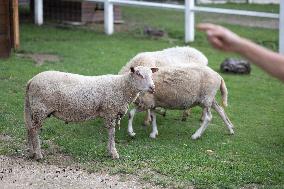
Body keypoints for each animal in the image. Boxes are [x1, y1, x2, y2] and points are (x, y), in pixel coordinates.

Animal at [24, 66, 159, 159]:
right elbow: (112, 133)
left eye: (151, 74)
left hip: (33, 108)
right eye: (139, 74)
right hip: (40, 109)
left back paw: (31, 152)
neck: (122, 86)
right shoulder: (110, 111)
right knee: (34, 130)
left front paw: (110, 151)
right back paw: (38, 154)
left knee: (29, 128)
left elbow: (110, 133)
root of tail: (31, 81)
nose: (153, 88)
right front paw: (114, 153)